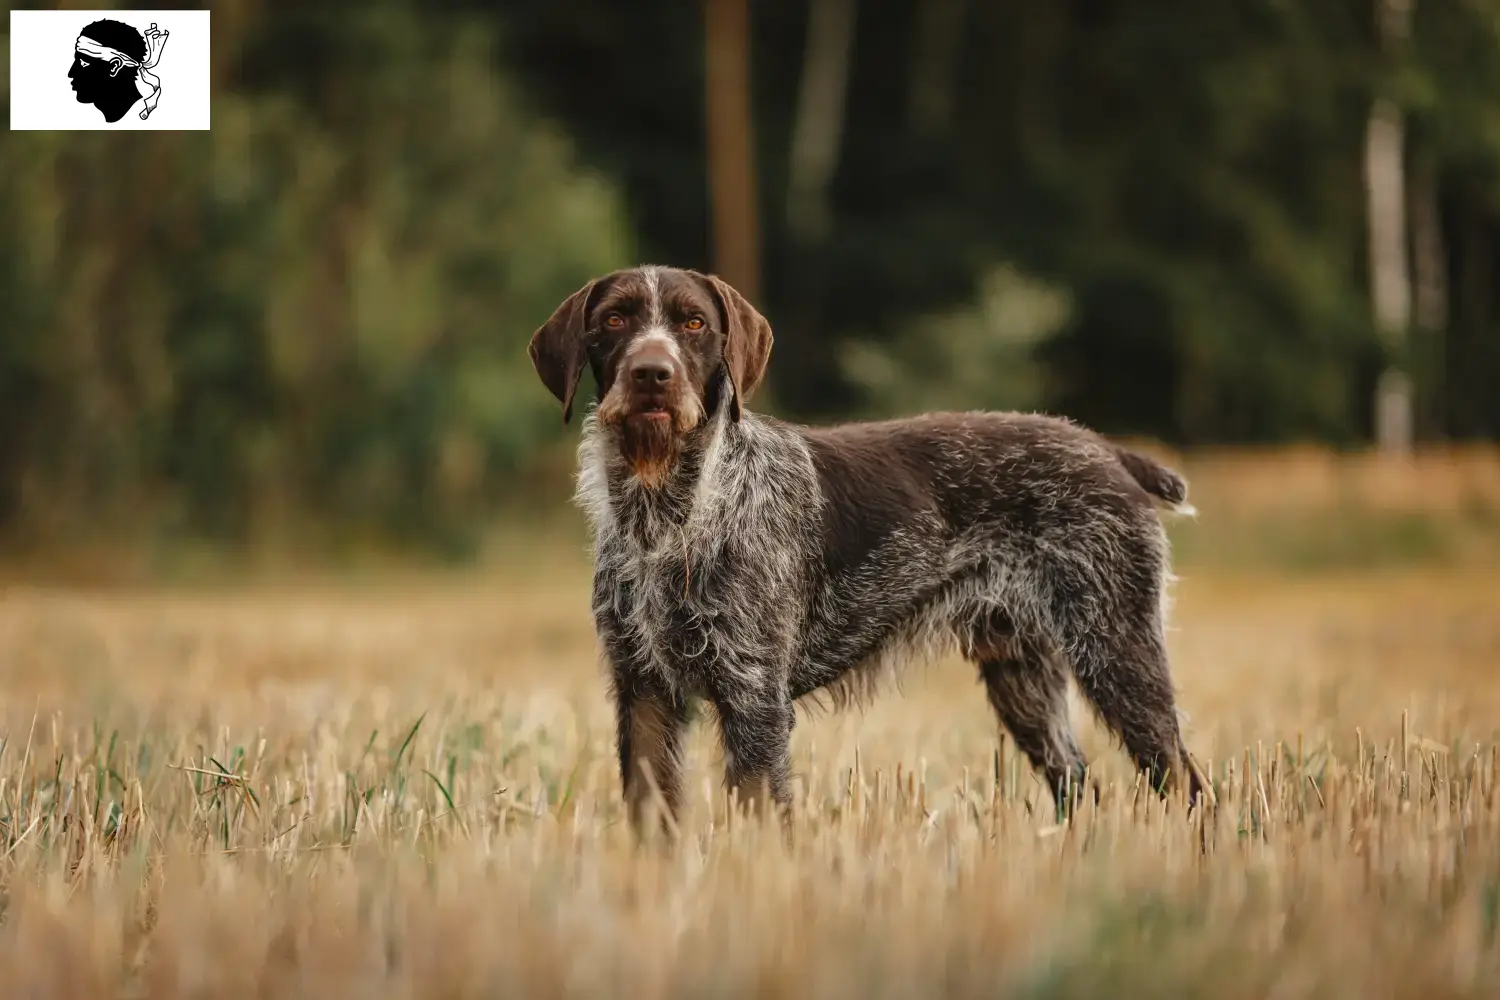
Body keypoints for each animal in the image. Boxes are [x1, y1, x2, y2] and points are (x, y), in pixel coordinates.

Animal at [528, 263, 1206, 827]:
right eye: (614, 319)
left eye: (694, 322)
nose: (652, 375)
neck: (670, 514)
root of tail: (1110, 452)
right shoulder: (644, 694)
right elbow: (651, 820)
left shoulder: (754, 697)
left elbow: (759, 817)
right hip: (1026, 676)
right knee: (1078, 783)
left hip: (1117, 650)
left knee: (1185, 781)